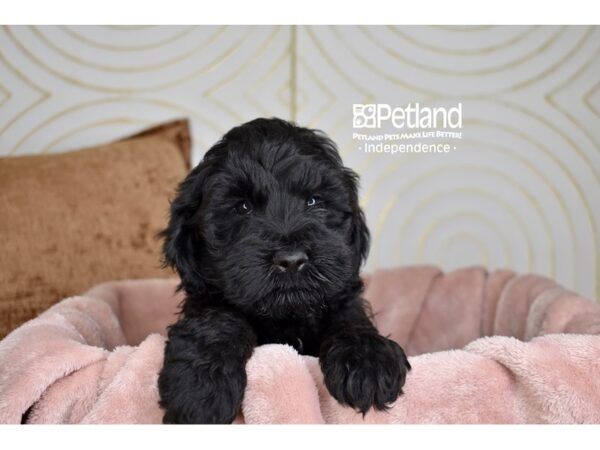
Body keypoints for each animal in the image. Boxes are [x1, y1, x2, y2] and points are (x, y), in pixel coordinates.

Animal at [159, 118, 410, 424]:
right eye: (242, 207)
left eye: (314, 201)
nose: (291, 260)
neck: (286, 317)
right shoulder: (205, 294)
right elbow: (216, 319)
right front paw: (200, 388)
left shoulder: (340, 291)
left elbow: (349, 316)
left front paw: (367, 361)